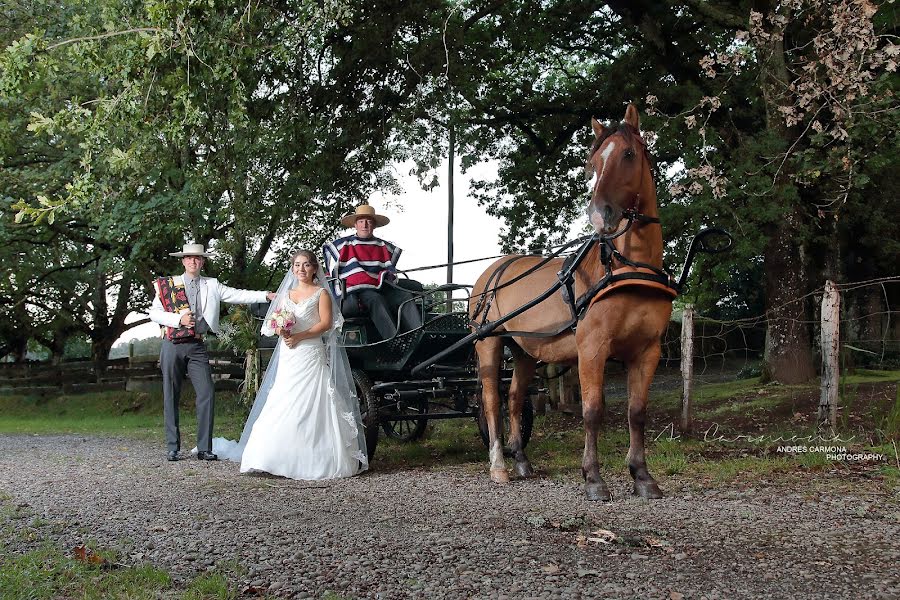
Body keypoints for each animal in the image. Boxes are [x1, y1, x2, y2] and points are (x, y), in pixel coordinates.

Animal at [472, 104, 676, 502]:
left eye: (628, 154)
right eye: (593, 163)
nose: (599, 214)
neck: (627, 269)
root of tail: (492, 270)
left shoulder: (647, 350)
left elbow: (637, 412)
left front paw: (642, 476)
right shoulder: (592, 347)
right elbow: (593, 411)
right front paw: (593, 478)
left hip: (524, 350)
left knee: (515, 398)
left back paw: (521, 460)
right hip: (489, 343)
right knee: (491, 400)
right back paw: (498, 465)